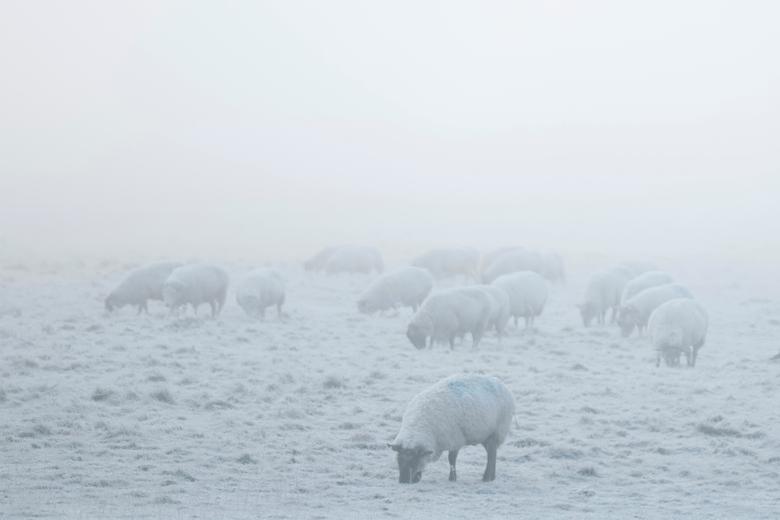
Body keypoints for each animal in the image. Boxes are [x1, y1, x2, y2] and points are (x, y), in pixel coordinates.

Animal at [386, 374, 516, 484]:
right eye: (398, 461)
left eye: (414, 460)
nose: (403, 481)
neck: (418, 426)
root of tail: (502, 385)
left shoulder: (455, 439)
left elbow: (451, 460)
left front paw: (452, 478)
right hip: (485, 435)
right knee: (491, 453)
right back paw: (489, 477)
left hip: (496, 432)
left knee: (491, 455)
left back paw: (488, 478)